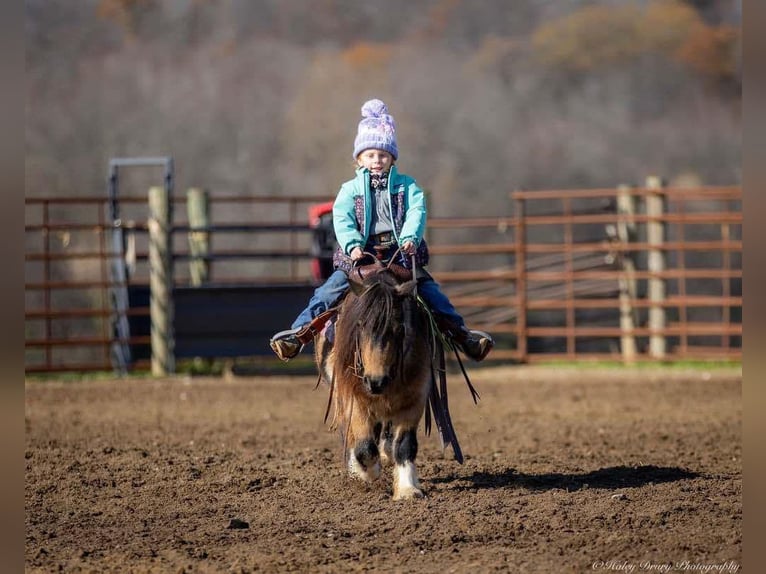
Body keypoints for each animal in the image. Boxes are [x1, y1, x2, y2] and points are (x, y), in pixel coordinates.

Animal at [316, 258, 476, 502]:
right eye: (360, 325)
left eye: (399, 328)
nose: (376, 381)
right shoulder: (352, 395)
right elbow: (364, 446)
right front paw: (367, 472)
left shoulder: (414, 396)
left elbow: (404, 445)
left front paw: (408, 489)